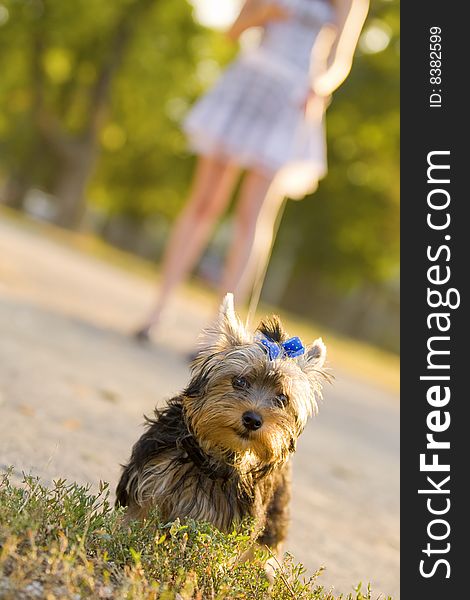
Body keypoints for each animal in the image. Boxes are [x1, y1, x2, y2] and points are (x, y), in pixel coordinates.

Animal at [114, 292, 326, 556]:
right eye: (240, 381)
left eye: (282, 398)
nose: (253, 419)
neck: (213, 457)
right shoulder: (148, 480)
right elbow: (134, 518)